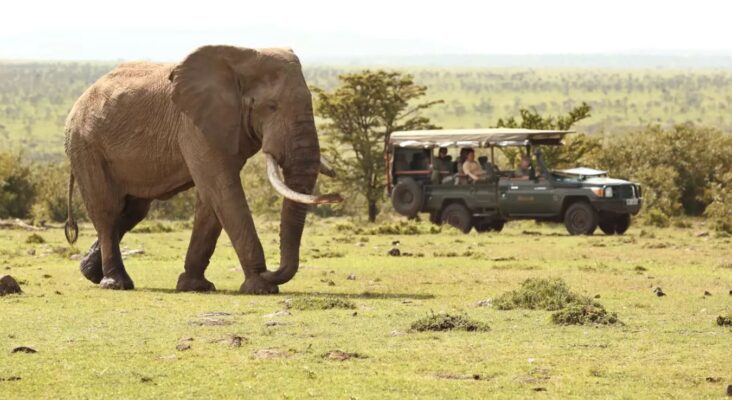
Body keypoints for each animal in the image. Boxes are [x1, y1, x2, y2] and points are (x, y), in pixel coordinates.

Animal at [62, 45, 341, 294]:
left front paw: (195, 287)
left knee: (133, 212)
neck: (243, 57)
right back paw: (115, 283)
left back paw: (90, 272)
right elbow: (223, 190)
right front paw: (261, 287)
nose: (336, 196)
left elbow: (211, 199)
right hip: (85, 145)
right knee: (108, 210)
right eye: (271, 107)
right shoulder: (194, 127)